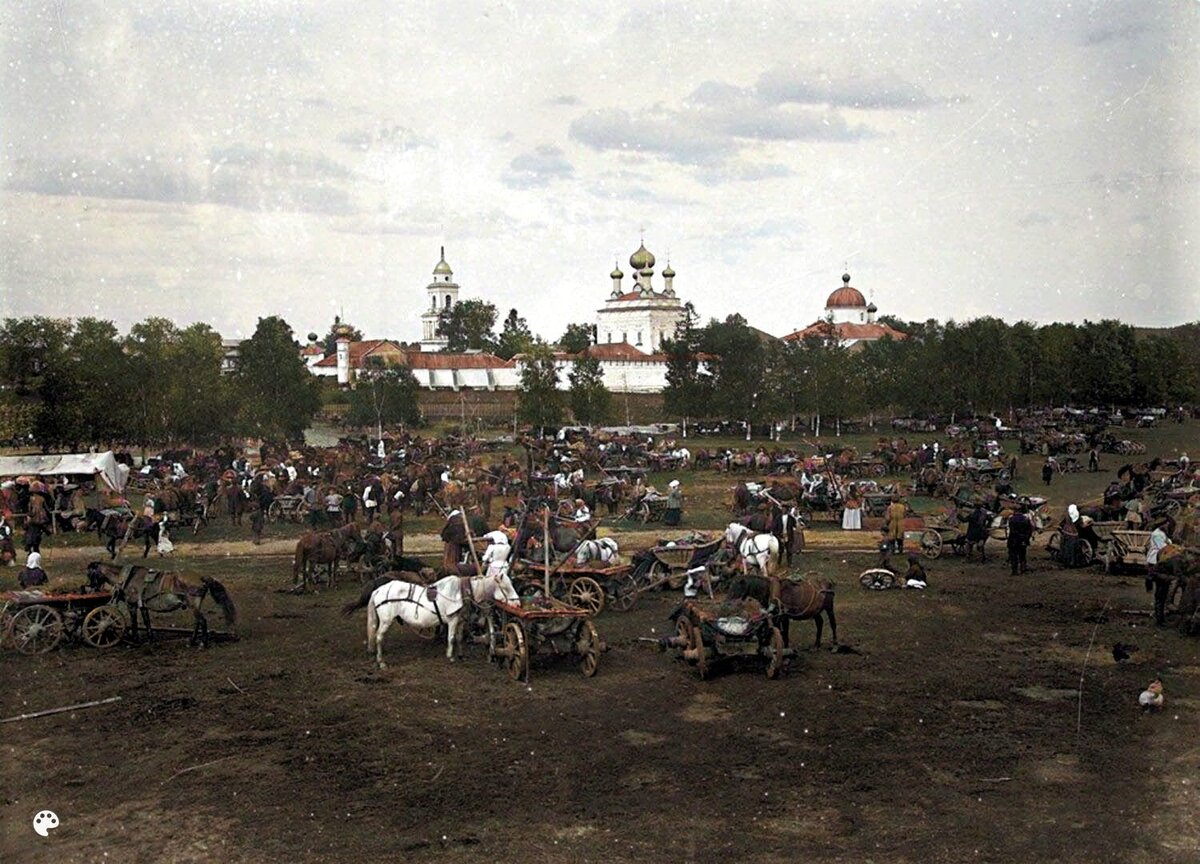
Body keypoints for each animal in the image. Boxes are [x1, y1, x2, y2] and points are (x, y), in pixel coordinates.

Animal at [86, 559, 236, 648]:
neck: (128, 578)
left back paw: (202, 643)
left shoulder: (132, 605)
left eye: (90, 573)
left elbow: (134, 623)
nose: (89, 588)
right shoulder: (143, 606)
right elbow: (146, 622)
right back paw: (192, 641)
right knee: (197, 622)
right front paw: (150, 639)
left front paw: (134, 640)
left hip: (193, 605)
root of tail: (201, 578)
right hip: (194, 606)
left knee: (202, 621)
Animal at [362, 566, 518, 667]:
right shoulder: (452, 619)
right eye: (506, 588)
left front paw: (460, 655)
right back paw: (381, 661)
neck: (462, 592)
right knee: (379, 637)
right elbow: (451, 638)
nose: (518, 603)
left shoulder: (460, 621)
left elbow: (459, 638)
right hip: (386, 620)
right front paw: (450, 657)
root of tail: (378, 590)